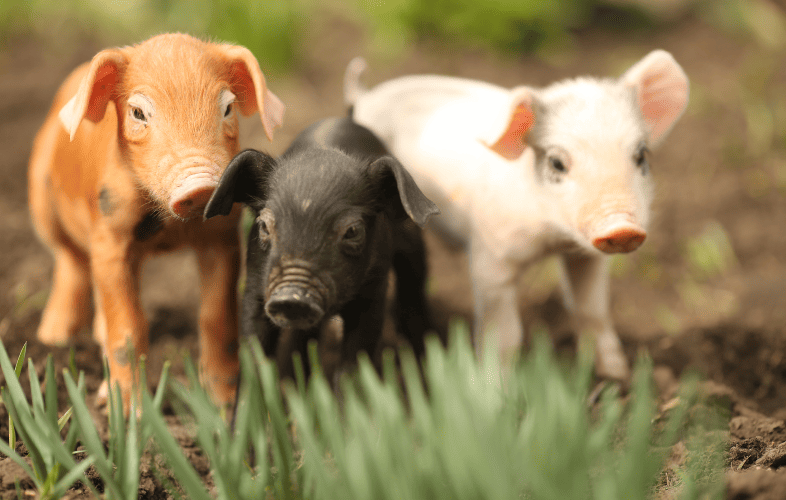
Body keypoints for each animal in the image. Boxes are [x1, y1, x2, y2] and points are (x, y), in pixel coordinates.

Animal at [28, 33, 285, 409]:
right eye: (138, 113)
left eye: (227, 108)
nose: (202, 186)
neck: (170, 230)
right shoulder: (109, 239)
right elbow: (129, 326)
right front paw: (127, 412)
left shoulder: (222, 238)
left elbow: (216, 316)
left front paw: (221, 404)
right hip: (42, 204)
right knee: (70, 261)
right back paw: (54, 339)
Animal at [203, 117, 439, 380]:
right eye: (264, 225)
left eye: (353, 231)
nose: (291, 297)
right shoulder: (255, 284)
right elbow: (253, 347)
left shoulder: (373, 290)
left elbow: (355, 358)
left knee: (414, 290)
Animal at [345, 51, 689, 380]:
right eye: (557, 163)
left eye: (641, 155)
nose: (622, 229)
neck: (552, 239)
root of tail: (366, 96)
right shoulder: (490, 258)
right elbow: (504, 335)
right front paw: (496, 393)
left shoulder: (586, 257)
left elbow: (592, 309)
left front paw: (617, 377)